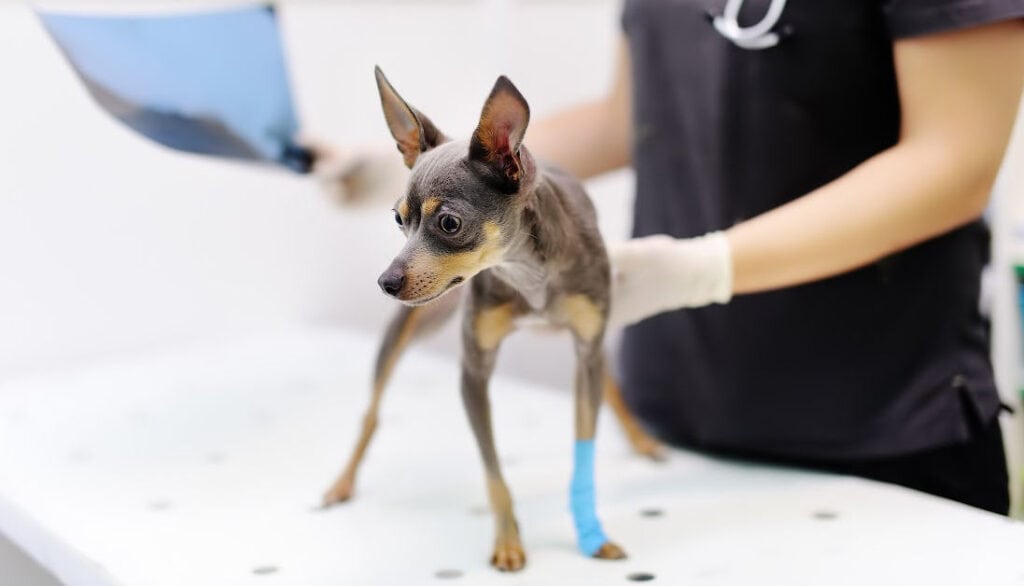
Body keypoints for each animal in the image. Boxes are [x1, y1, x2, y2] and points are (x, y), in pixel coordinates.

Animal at [321, 66, 663, 569]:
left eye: (448, 223)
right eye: (398, 220)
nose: (386, 281)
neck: (526, 273)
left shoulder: (586, 347)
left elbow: (584, 445)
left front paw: (591, 531)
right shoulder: (474, 373)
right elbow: (493, 467)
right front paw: (507, 541)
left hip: (582, 340)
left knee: (608, 381)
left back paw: (642, 440)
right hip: (408, 329)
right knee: (371, 411)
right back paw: (342, 481)